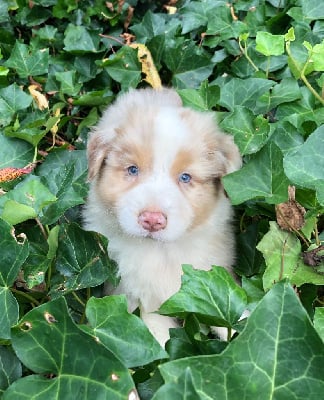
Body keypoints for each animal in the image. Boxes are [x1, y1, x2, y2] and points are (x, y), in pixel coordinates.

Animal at [85, 89, 242, 346]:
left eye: (185, 177)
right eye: (132, 170)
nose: (152, 220)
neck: (161, 251)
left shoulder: (213, 271)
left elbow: (231, 314)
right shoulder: (136, 296)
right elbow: (158, 339)